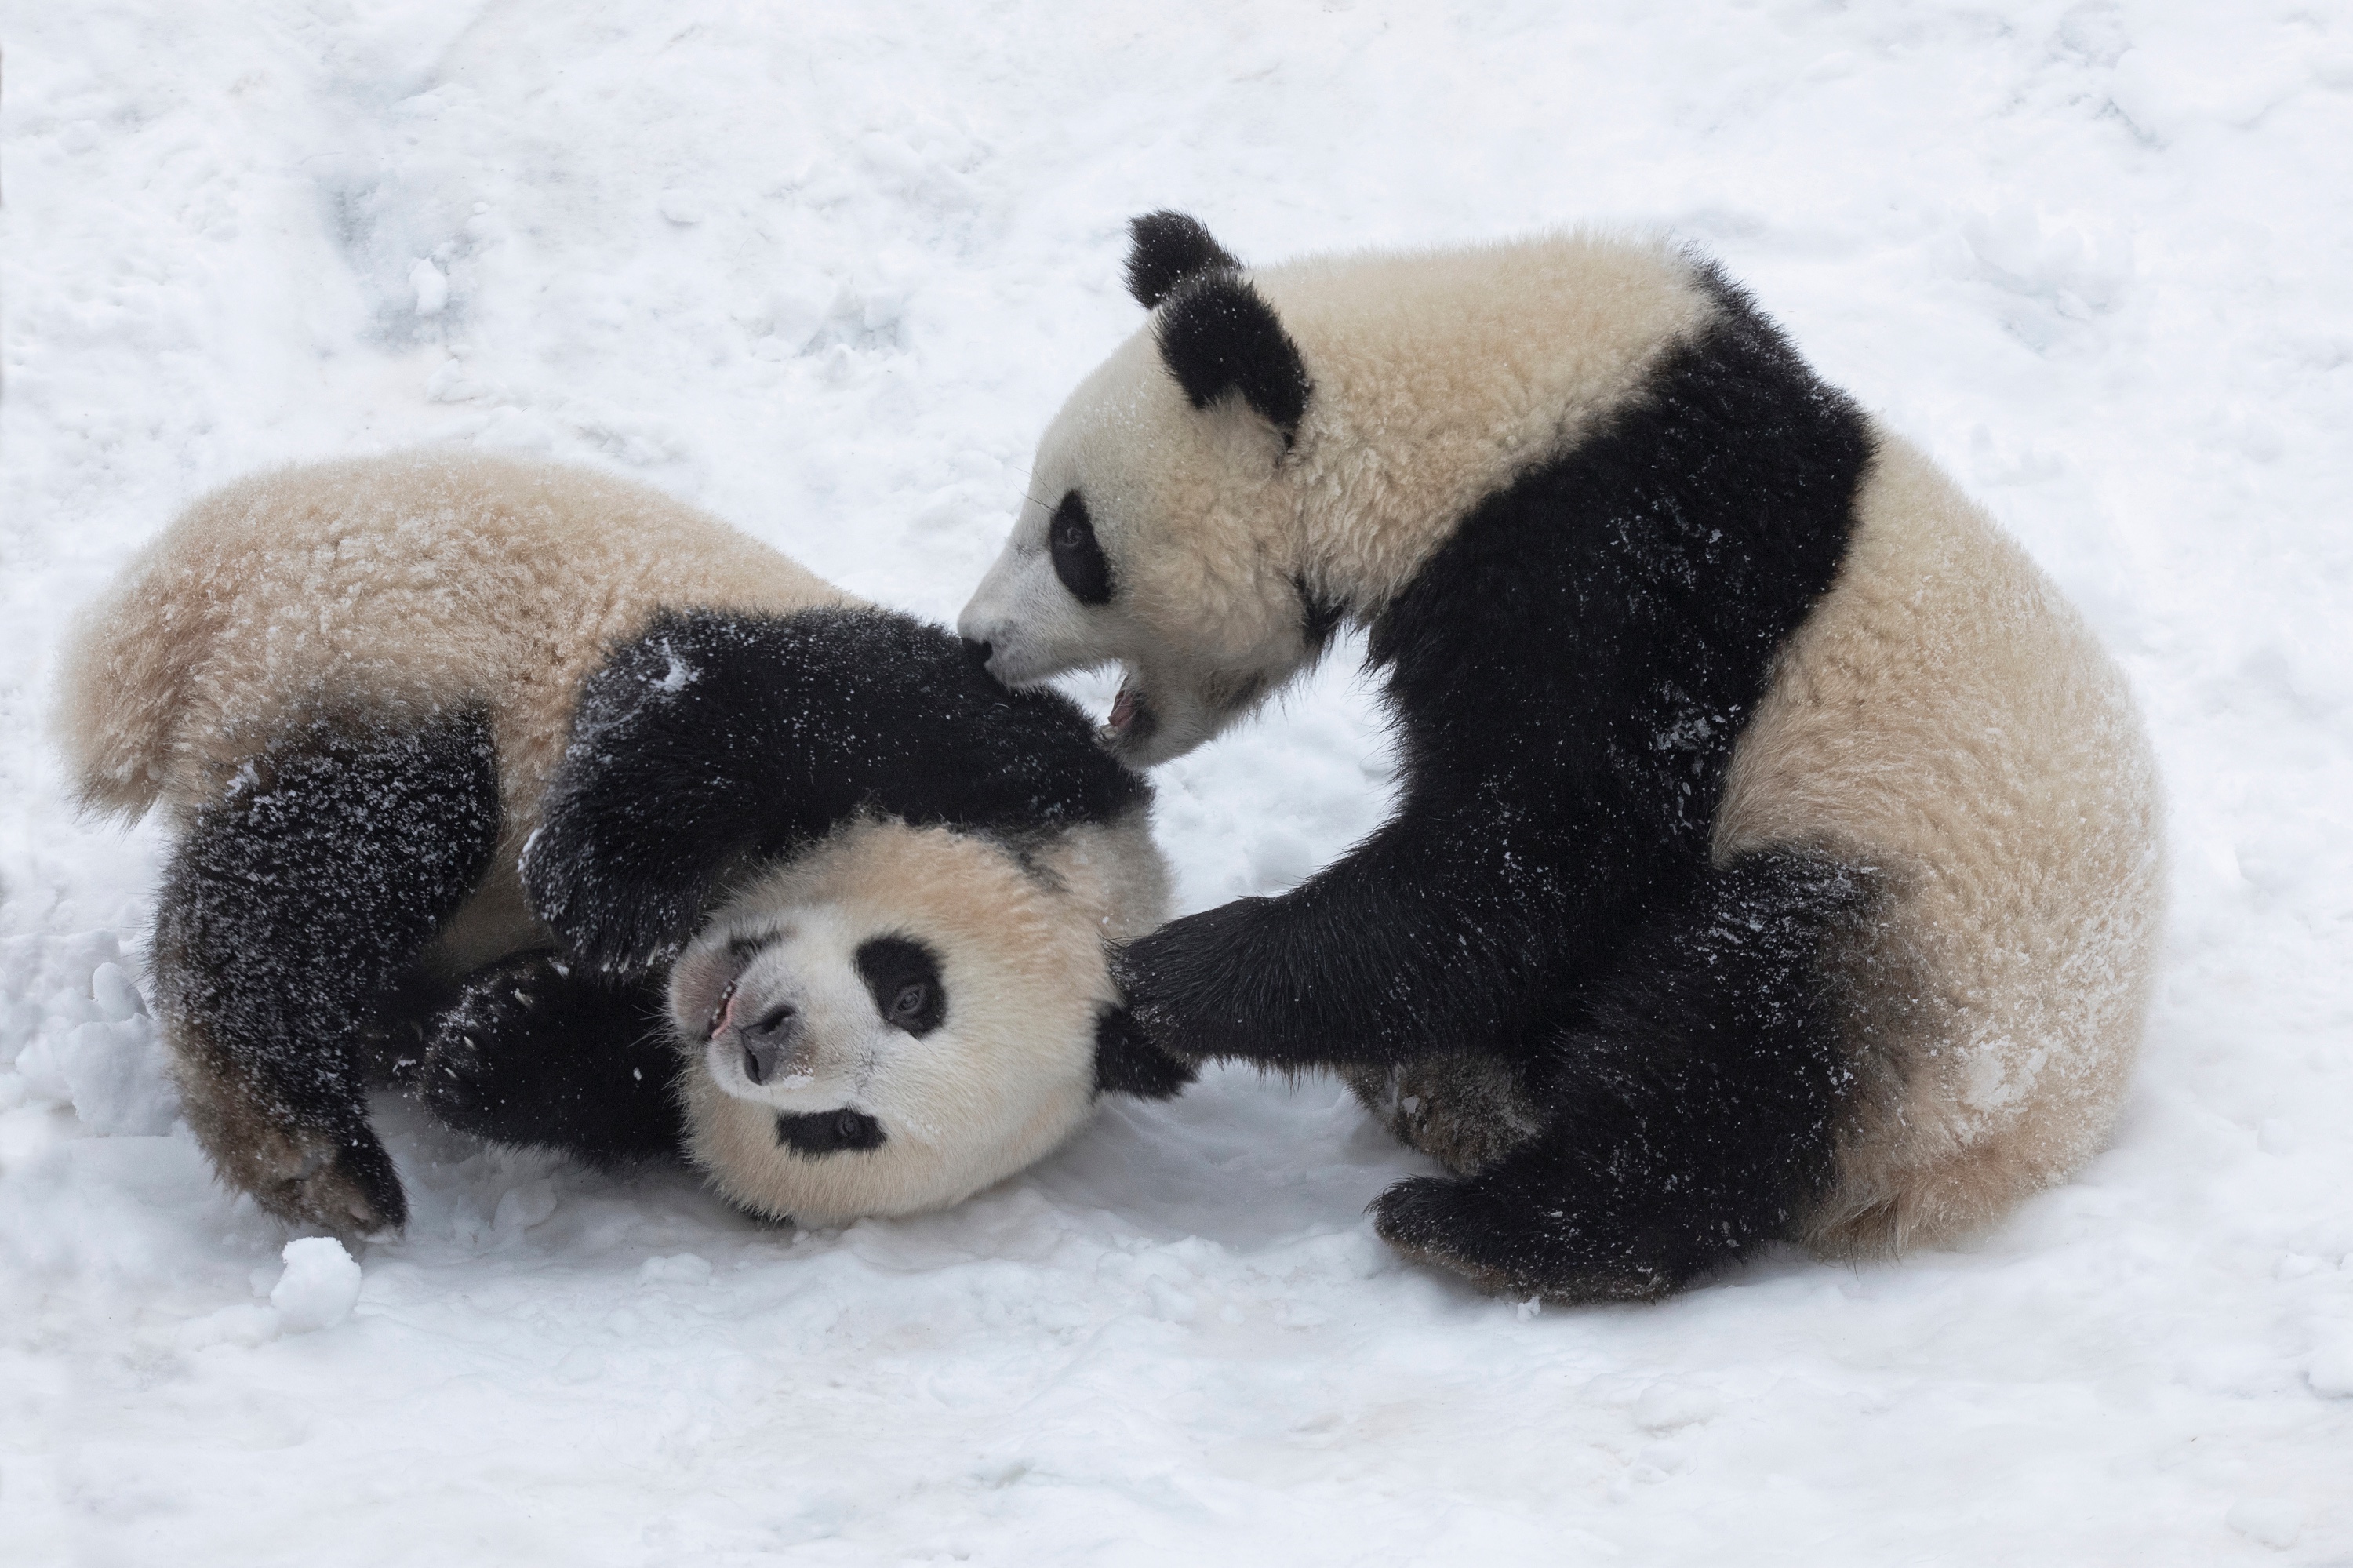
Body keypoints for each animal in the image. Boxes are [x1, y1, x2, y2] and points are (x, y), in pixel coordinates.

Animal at [57, 450, 1189, 1238]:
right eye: (910, 988)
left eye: (838, 1129)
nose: (762, 1037)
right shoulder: (1008, 753)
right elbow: (722, 699)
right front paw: (597, 894)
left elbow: (587, 1079)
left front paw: (493, 1033)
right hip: (372, 630)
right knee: (351, 849)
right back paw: (304, 1139)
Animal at [958, 213, 2166, 1303]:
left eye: (1073, 539)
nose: (976, 639)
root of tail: (2028, 1146)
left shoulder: (1629, 579)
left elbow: (1534, 857)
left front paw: (1169, 975)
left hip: (1917, 940)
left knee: (1739, 1033)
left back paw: (1491, 1224)